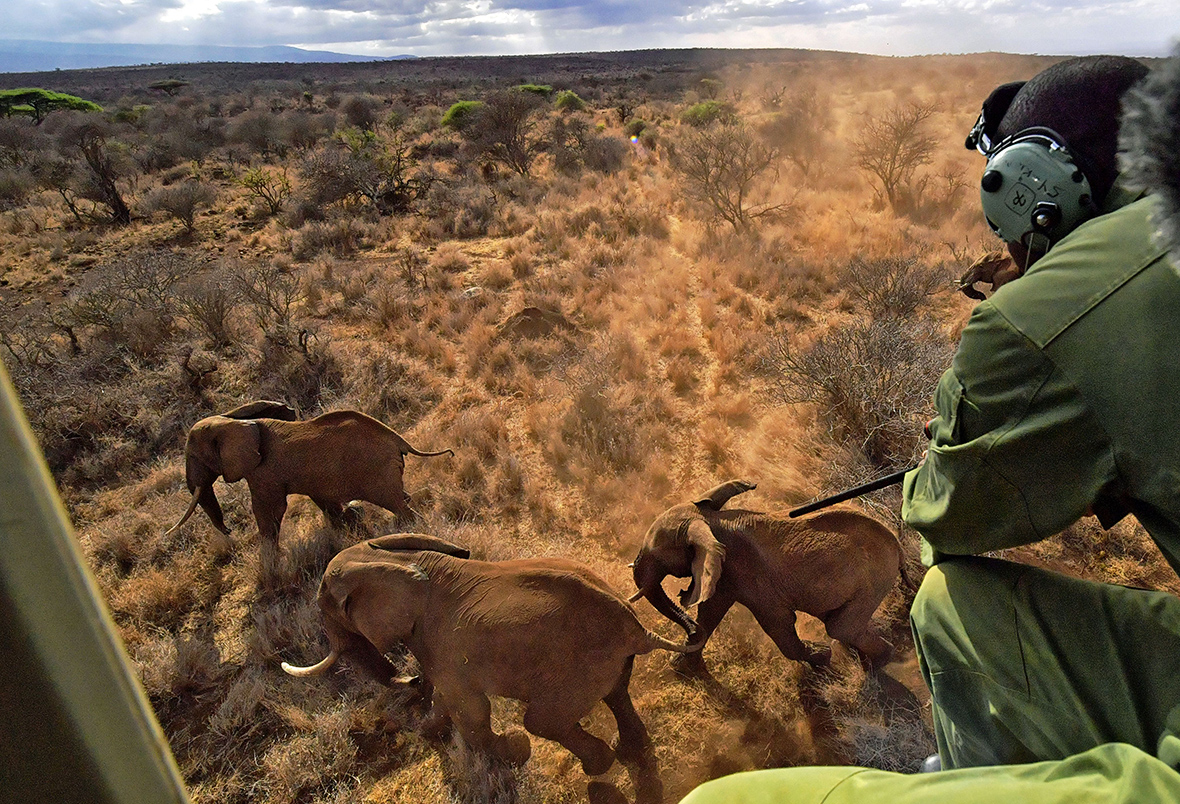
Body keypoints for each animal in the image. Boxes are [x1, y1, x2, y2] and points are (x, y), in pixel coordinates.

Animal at [166, 401, 455, 564]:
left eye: (194, 457)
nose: (228, 532)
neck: (231, 421)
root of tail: (399, 439)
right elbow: (325, 501)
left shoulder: (263, 472)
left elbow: (268, 509)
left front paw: (271, 559)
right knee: (401, 497)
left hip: (378, 471)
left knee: (395, 502)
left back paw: (411, 528)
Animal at [280, 528, 693, 774]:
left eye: (330, 611)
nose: (411, 679)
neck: (396, 560)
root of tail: (635, 628)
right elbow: (449, 700)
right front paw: (430, 731)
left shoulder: (443, 642)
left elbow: (471, 709)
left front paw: (516, 751)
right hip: (604, 663)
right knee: (617, 695)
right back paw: (626, 752)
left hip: (579, 667)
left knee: (542, 722)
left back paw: (598, 765)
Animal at [627, 476, 910, 670]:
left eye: (657, 555)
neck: (710, 521)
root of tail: (897, 545)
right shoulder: (728, 574)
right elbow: (710, 611)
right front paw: (681, 668)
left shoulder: (754, 577)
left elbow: (778, 623)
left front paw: (822, 656)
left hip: (874, 580)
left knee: (839, 627)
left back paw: (876, 664)